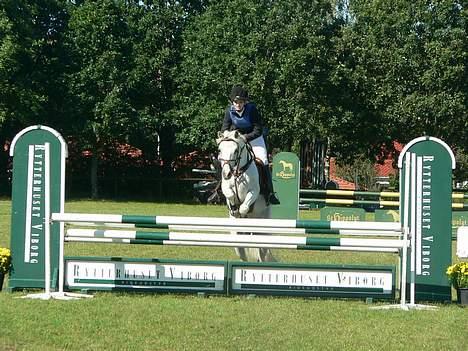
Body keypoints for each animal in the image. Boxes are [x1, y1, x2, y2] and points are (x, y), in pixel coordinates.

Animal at [218, 131, 276, 262]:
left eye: (235, 151)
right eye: (220, 150)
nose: (226, 174)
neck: (238, 172)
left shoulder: (254, 191)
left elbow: (244, 207)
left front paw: (241, 212)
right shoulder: (226, 188)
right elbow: (230, 194)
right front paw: (234, 209)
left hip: (263, 229)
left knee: (262, 253)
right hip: (237, 240)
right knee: (242, 254)